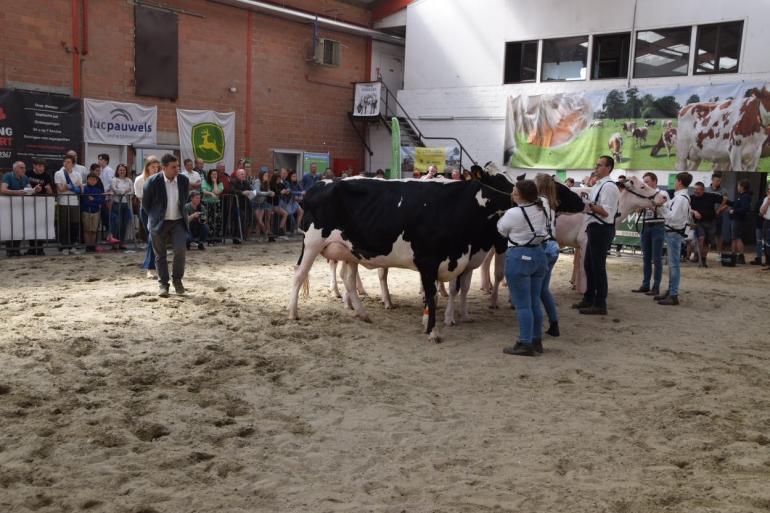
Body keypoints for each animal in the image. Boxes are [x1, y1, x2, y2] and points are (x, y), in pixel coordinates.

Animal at [284, 167, 512, 340]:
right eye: (500, 182)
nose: (517, 200)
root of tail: (319, 185)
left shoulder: (457, 259)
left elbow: (449, 290)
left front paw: (433, 322)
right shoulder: (427, 261)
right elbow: (433, 294)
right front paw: (433, 331)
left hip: (349, 251)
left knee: (348, 279)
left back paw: (362, 313)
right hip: (312, 242)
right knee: (299, 274)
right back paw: (293, 313)